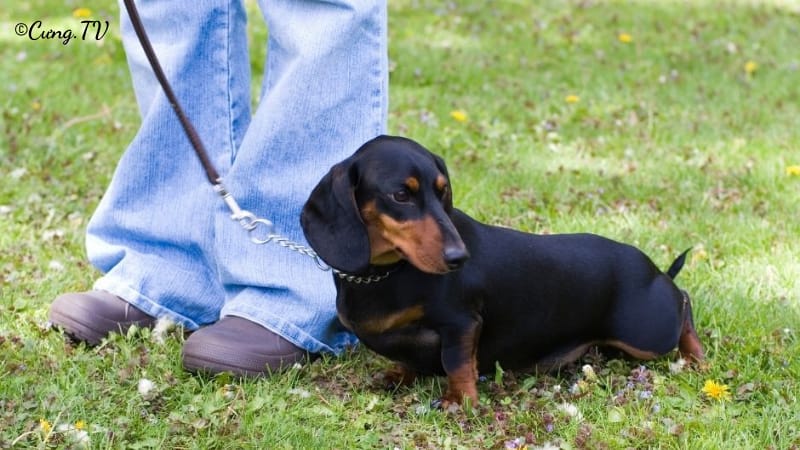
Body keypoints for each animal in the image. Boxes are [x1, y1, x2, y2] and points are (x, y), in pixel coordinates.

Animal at [302, 135, 708, 406]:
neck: (387, 274)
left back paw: (696, 357)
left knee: (684, 303)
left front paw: (459, 400)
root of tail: (653, 269)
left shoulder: (462, 323)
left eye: (442, 190)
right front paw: (400, 374)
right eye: (401, 195)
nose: (459, 257)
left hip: (647, 335)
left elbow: (456, 362)